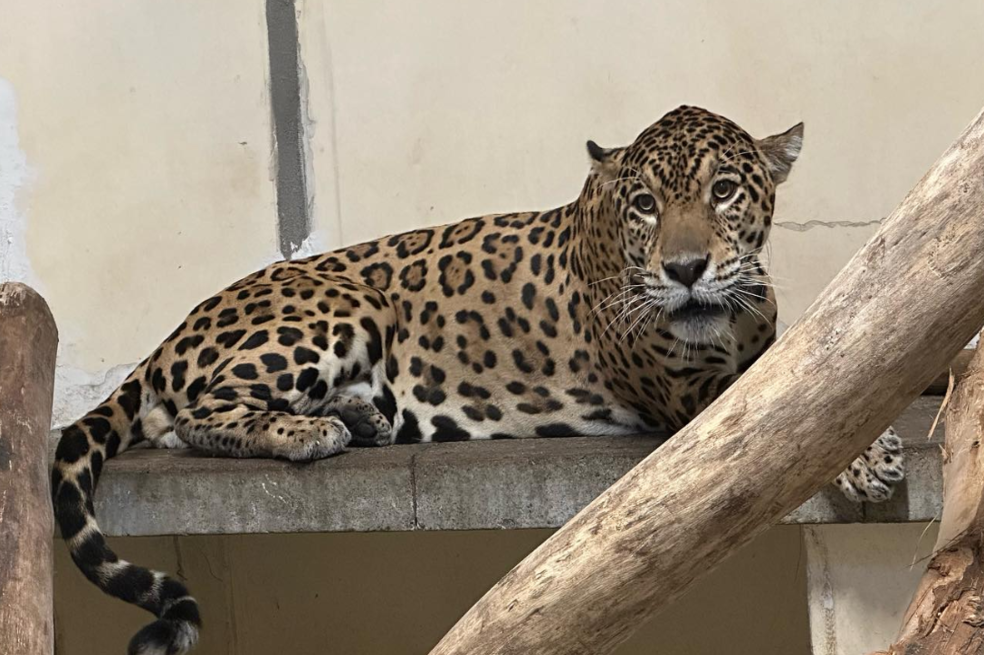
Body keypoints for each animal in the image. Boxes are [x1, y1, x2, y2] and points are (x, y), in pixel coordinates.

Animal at [51, 105, 904, 655]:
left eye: (723, 190)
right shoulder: (688, 390)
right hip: (343, 301)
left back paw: (363, 418)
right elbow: (791, 391)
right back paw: (313, 430)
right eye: (645, 204)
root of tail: (171, 334)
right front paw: (867, 455)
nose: (685, 268)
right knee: (192, 412)